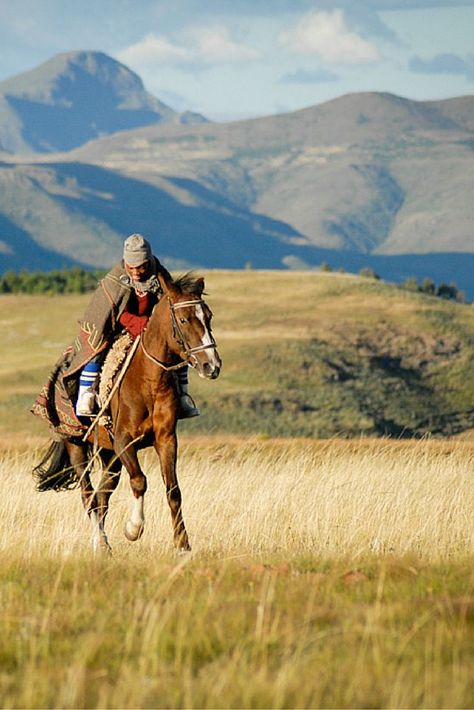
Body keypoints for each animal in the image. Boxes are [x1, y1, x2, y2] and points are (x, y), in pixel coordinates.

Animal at [33, 274, 222, 556]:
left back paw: (102, 544)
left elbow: (173, 489)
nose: (212, 366)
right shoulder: (124, 441)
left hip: (110, 456)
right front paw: (133, 529)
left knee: (101, 496)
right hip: (77, 447)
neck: (148, 382)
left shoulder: (166, 439)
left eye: (208, 316)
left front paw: (182, 545)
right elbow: (140, 481)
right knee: (88, 496)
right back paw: (100, 542)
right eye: (184, 319)